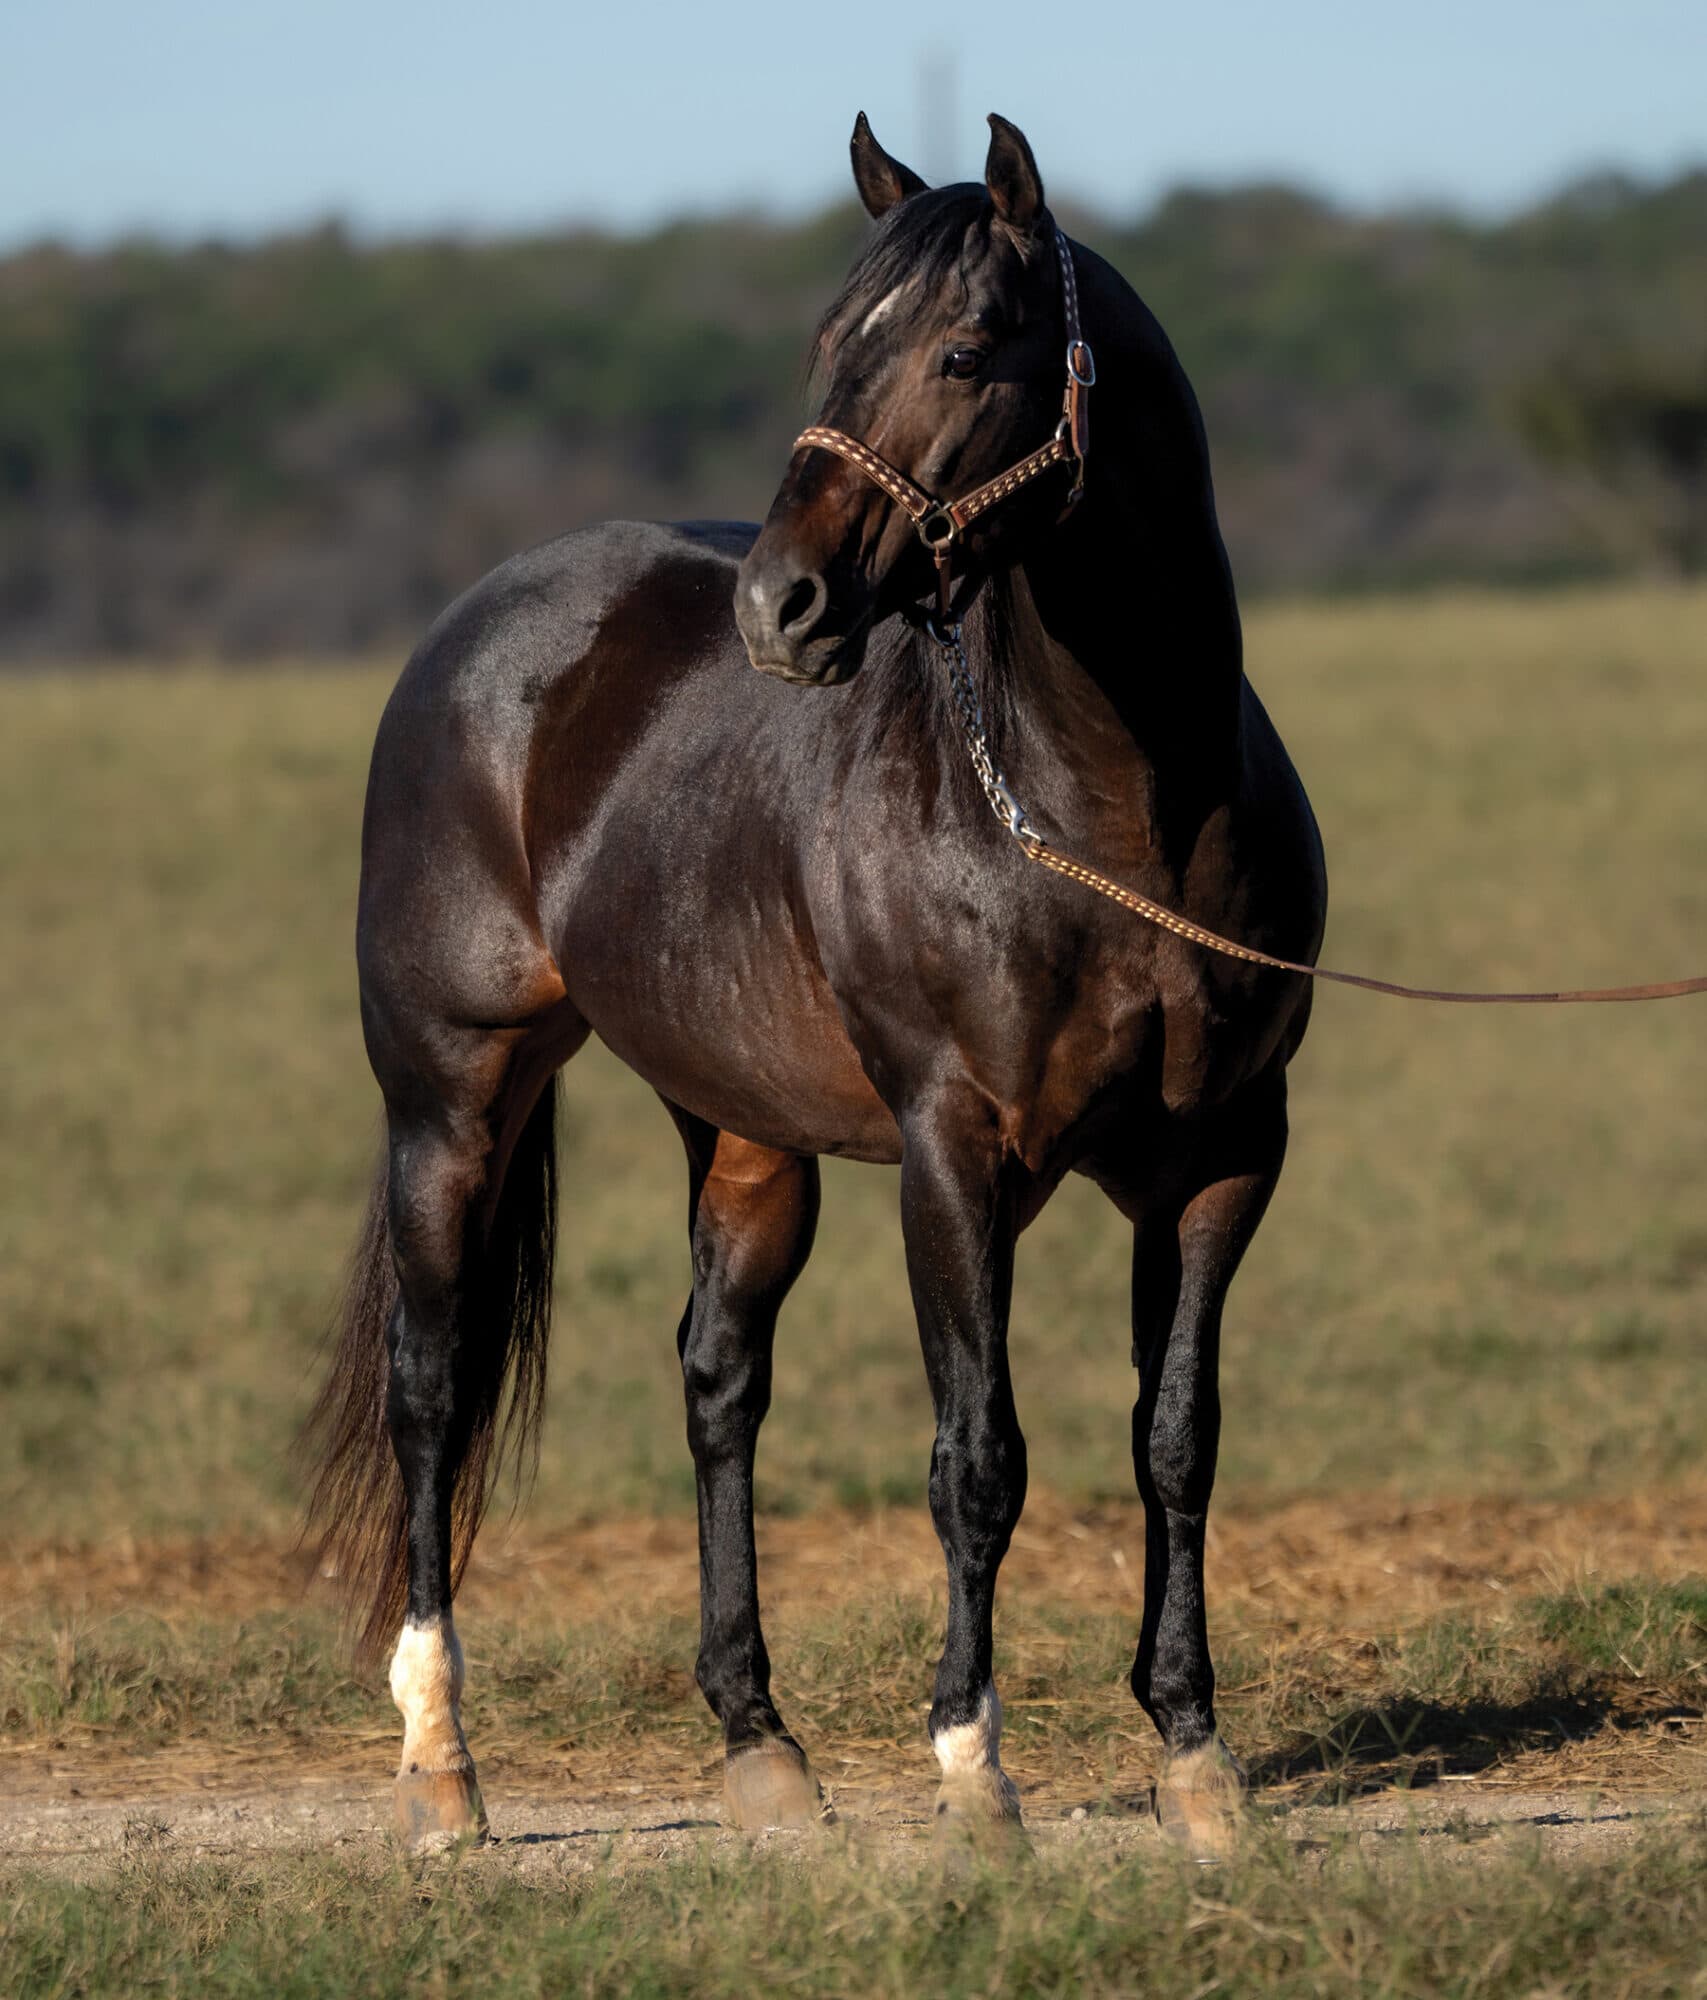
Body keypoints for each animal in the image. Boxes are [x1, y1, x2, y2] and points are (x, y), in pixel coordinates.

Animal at [304, 110, 1327, 1859]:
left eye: (965, 349)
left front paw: (1195, 1761)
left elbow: (1173, 1442)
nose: (774, 608)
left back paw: (758, 1748)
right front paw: (974, 1772)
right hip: (450, 1097)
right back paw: (441, 1768)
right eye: (827, 349)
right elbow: (976, 1457)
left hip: (743, 1133)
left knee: (718, 1382)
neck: (1107, 817)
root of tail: (473, 631)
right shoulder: (953, 1156)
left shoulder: (1221, 1160)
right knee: (429, 1392)